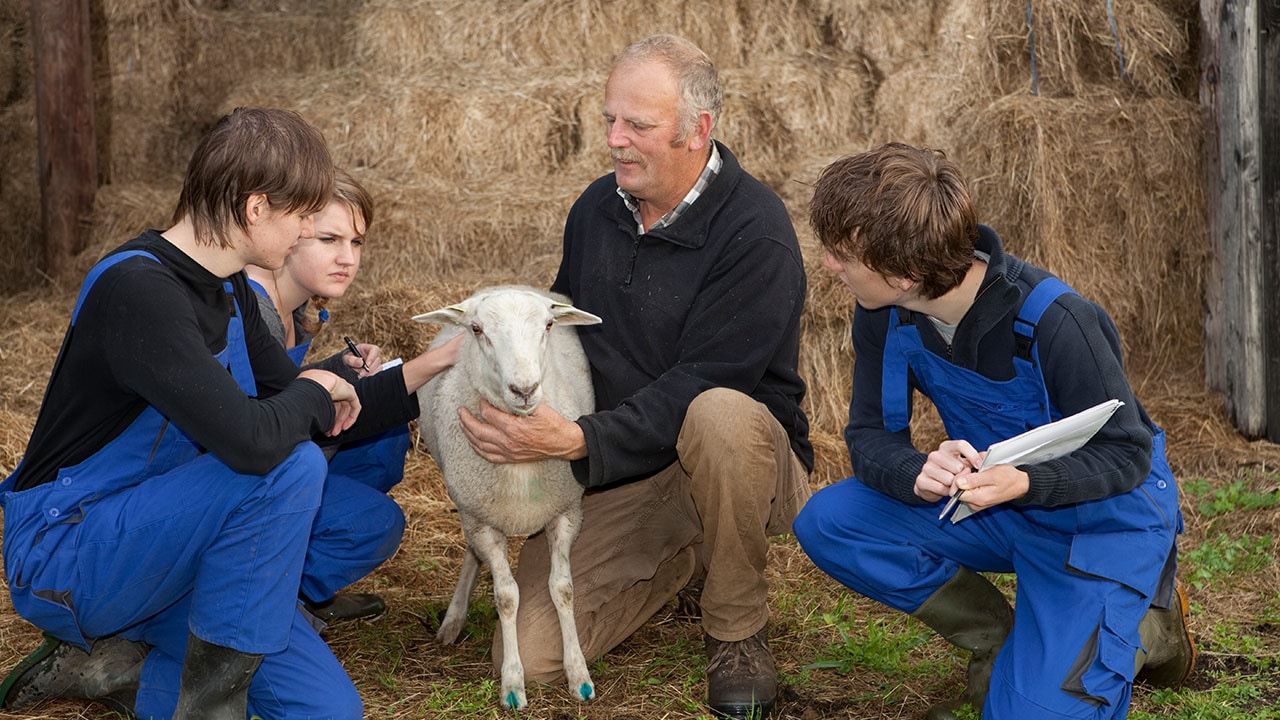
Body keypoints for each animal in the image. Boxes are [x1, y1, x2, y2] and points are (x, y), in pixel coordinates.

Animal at [414, 284, 604, 707]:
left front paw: (578, 674)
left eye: (548, 325)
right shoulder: (482, 521)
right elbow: (506, 597)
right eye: (477, 329)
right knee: (471, 553)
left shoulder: (567, 512)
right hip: (469, 506)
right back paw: (453, 619)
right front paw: (512, 683)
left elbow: (563, 589)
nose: (525, 390)